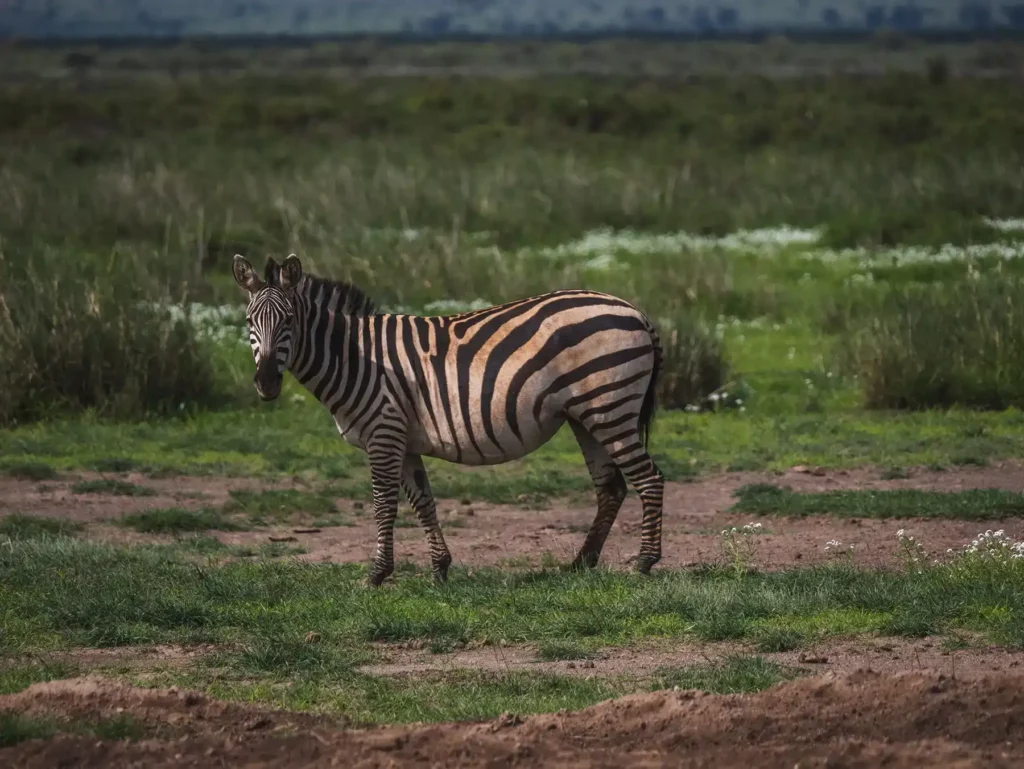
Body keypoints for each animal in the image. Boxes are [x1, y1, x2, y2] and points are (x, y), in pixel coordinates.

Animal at [233, 253, 665, 586]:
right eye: (250, 323)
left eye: (289, 320)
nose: (266, 383)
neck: (354, 357)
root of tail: (634, 310)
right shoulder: (403, 439)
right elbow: (423, 502)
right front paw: (440, 569)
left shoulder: (383, 431)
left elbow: (383, 503)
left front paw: (376, 574)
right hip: (587, 415)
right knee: (611, 487)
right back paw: (580, 563)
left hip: (610, 407)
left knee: (649, 478)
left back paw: (644, 563)